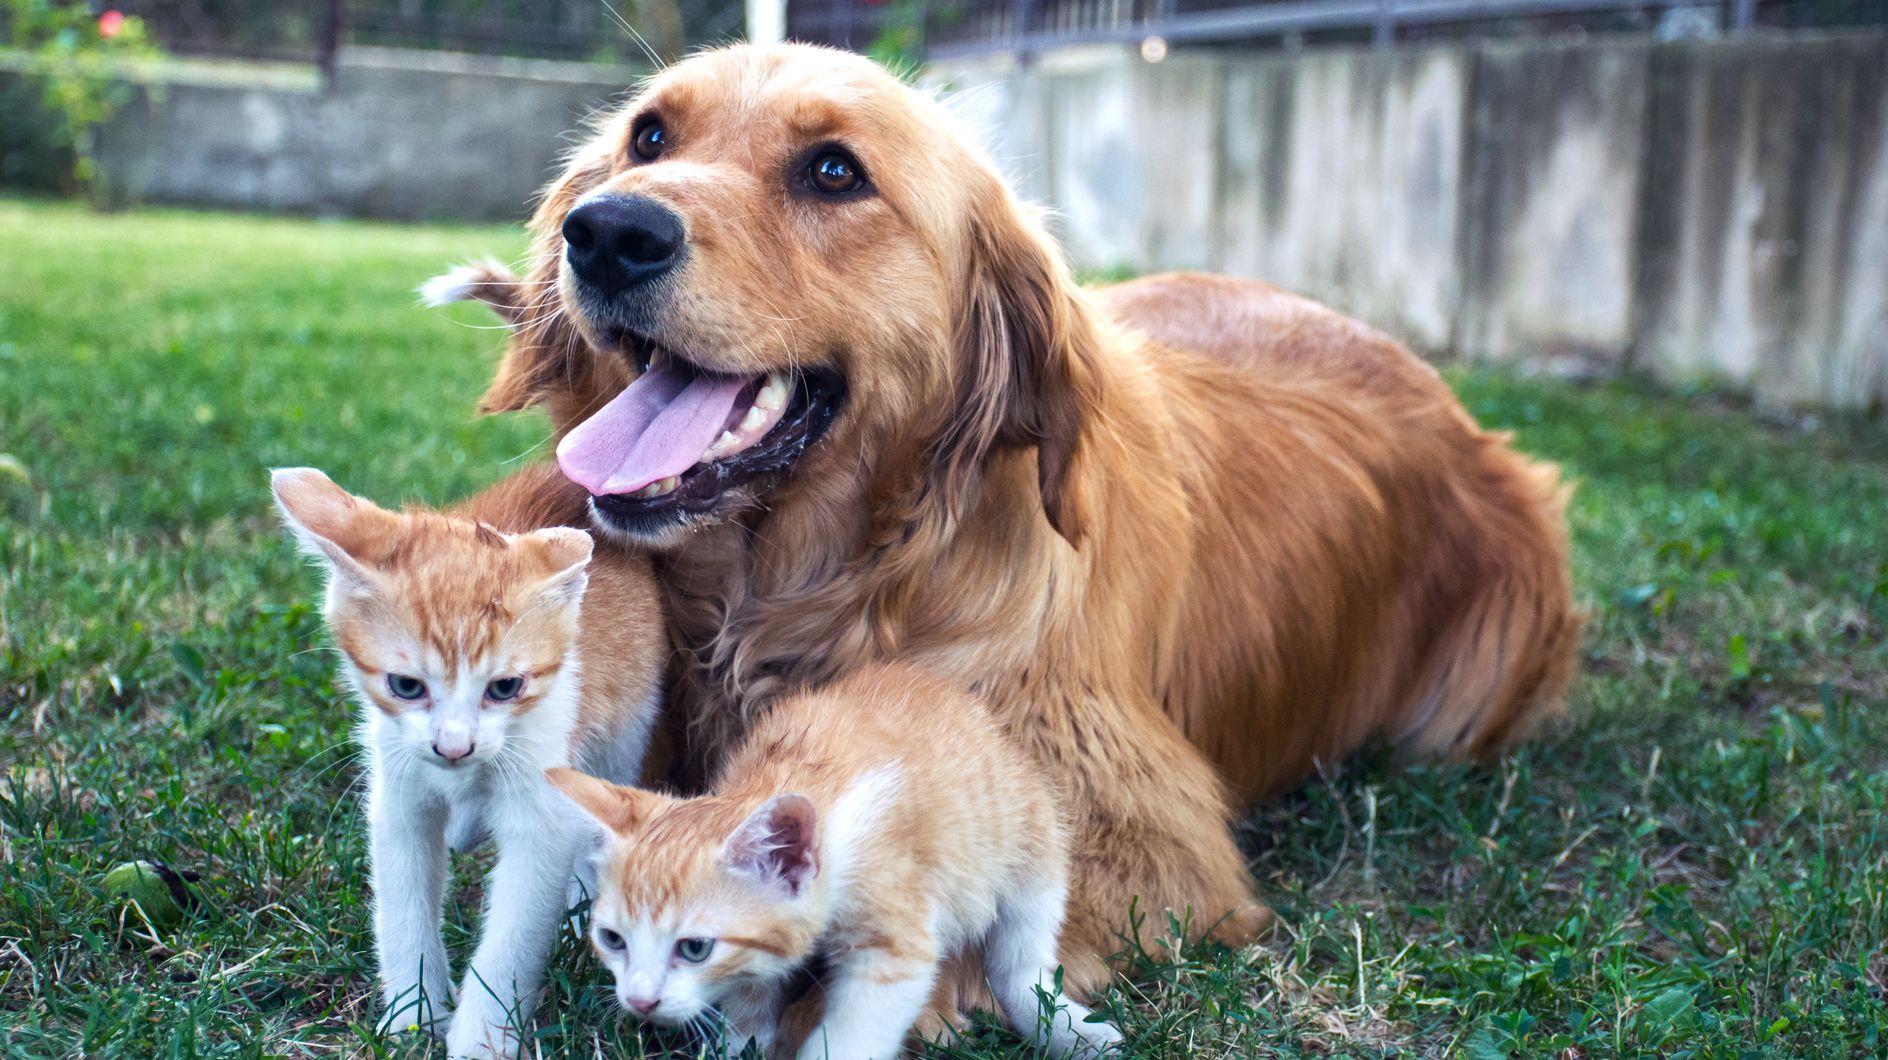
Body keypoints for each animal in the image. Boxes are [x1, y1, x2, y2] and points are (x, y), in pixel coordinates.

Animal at [269, 466, 668, 1050]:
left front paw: (481, 1037)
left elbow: (516, 930)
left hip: (625, 731)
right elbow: (402, 902)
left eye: (505, 687)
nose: (454, 747)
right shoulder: (398, 787)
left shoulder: (543, 788)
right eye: (406, 685)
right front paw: (414, 1013)